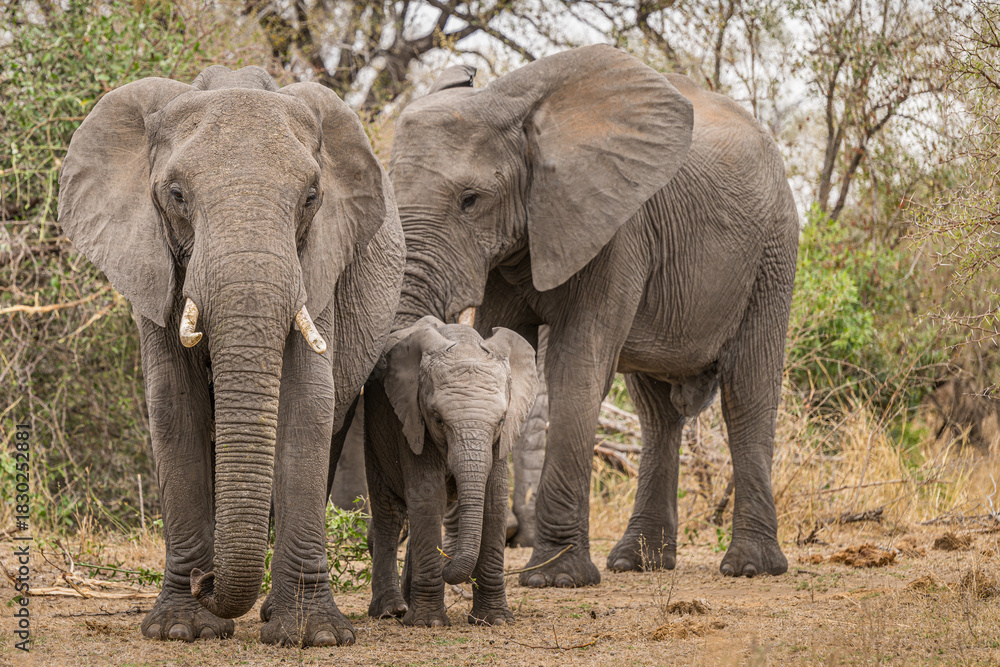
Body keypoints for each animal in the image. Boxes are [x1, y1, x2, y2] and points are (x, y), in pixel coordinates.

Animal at [57, 65, 405, 645]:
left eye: (312, 196)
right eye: (176, 194)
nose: (207, 581)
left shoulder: (320, 260)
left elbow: (308, 403)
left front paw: (313, 636)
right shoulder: (151, 261)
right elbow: (174, 406)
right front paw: (180, 629)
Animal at [364, 316, 537, 626]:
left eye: (501, 420)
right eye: (437, 419)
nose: (449, 565)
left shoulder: (500, 440)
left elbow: (494, 500)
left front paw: (495, 621)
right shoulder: (412, 419)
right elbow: (428, 497)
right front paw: (428, 623)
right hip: (375, 432)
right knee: (390, 513)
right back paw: (391, 611)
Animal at [388, 44, 799, 587]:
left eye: (470, 200)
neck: (514, 106)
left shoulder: (618, 229)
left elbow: (575, 367)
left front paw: (555, 578)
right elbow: (500, 345)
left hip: (771, 251)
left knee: (747, 391)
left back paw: (750, 567)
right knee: (657, 411)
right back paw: (636, 563)